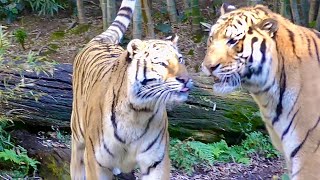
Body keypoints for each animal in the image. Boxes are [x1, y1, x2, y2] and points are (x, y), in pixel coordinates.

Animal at [69, 0, 192, 179]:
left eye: (180, 59)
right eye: (162, 63)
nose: (186, 80)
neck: (139, 111)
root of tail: (100, 41)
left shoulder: (156, 162)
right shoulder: (96, 163)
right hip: (78, 132)